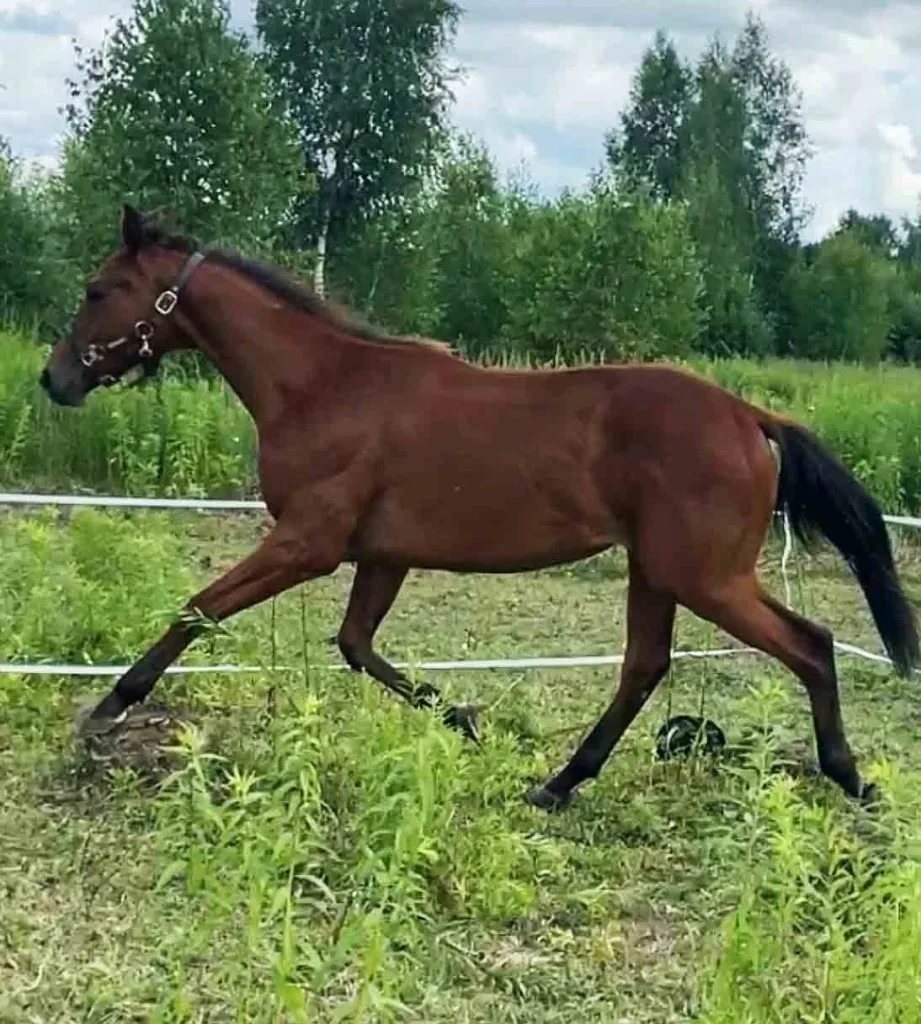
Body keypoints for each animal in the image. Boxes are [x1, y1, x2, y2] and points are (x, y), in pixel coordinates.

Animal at [40, 204, 919, 811]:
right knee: (644, 667)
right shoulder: (381, 554)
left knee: (809, 644)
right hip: (657, 570)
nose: (55, 379)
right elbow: (355, 646)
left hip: (703, 576)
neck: (322, 387)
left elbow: (197, 609)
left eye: (97, 289)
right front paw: (462, 717)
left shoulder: (307, 543)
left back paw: (849, 778)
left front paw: (107, 708)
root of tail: (752, 421)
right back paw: (557, 784)